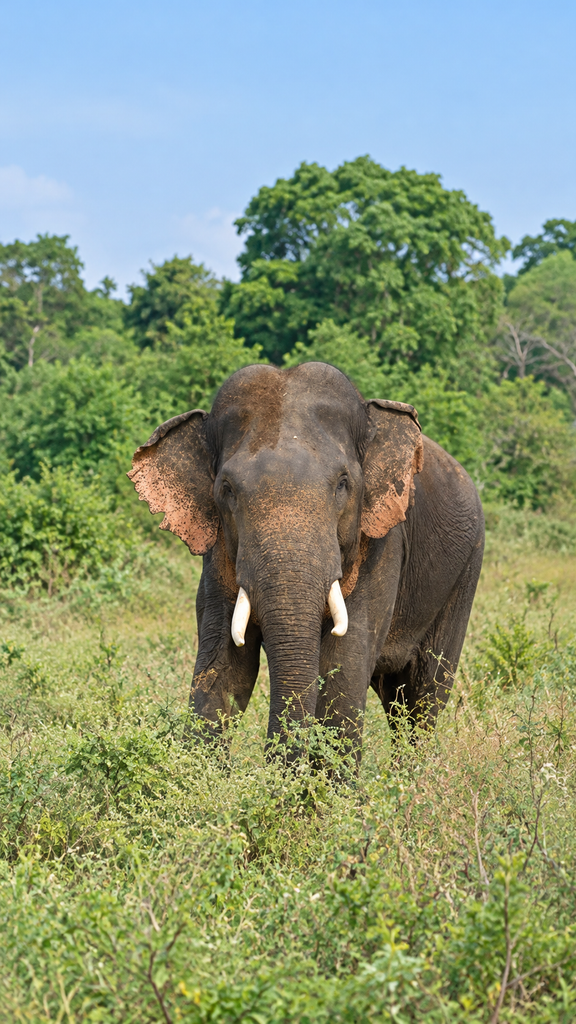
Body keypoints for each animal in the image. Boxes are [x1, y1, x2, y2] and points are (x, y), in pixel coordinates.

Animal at [128, 361, 484, 761]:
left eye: (343, 484)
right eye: (227, 489)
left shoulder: (383, 543)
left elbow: (342, 666)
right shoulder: (217, 553)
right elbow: (222, 667)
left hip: (465, 570)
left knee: (423, 697)